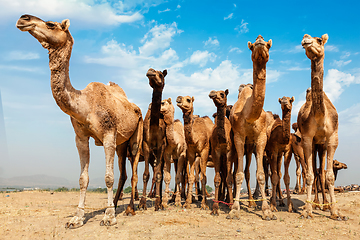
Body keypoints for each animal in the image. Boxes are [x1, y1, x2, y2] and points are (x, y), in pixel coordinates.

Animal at [16, 14, 143, 228]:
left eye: (51, 24)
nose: (23, 19)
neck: (85, 104)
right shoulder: (80, 137)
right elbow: (83, 178)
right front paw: (77, 218)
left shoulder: (108, 134)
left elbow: (108, 177)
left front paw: (109, 217)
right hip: (121, 144)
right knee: (124, 173)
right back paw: (117, 204)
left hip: (136, 135)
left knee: (133, 172)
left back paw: (130, 209)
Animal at [228, 34, 276, 220]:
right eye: (252, 46)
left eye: (268, 45)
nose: (260, 41)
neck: (249, 114)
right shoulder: (239, 137)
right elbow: (238, 174)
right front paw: (234, 209)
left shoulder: (261, 137)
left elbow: (261, 174)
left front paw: (267, 210)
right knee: (241, 172)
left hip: (251, 147)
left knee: (250, 171)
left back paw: (251, 203)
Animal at [296, 34, 348, 221]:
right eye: (305, 39)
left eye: (319, 40)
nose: (306, 40)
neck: (319, 114)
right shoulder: (306, 138)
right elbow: (310, 174)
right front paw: (308, 210)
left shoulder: (332, 137)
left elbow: (330, 176)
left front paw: (335, 212)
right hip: (314, 144)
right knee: (316, 170)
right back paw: (317, 204)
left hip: (322, 145)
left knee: (322, 171)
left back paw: (324, 205)